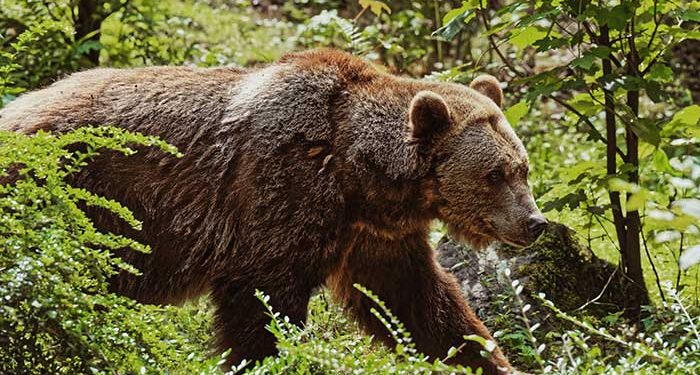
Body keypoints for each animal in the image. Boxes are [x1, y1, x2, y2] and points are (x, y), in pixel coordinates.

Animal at [0, 48, 548, 374]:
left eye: (523, 168)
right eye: (494, 173)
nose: (535, 223)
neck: (358, 173)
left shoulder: (372, 235)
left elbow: (421, 306)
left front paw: (492, 359)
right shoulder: (279, 192)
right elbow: (261, 304)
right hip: (71, 199)